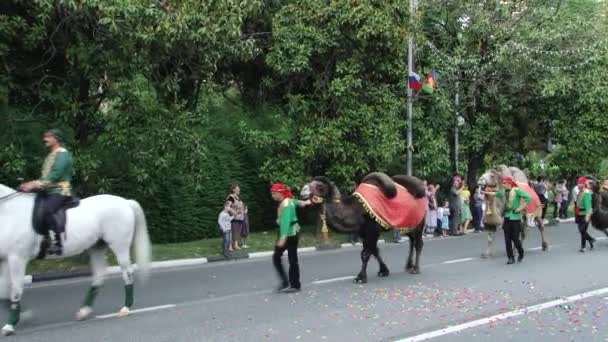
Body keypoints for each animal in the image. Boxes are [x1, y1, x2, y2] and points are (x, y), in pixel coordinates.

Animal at [0, 184, 151, 334]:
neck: (11, 211)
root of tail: (125, 202)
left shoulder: (17, 258)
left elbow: (15, 290)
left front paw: (10, 325)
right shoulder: (6, 259)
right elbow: (4, 289)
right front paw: (23, 315)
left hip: (120, 246)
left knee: (127, 273)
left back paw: (125, 308)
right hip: (97, 247)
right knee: (100, 275)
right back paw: (84, 311)